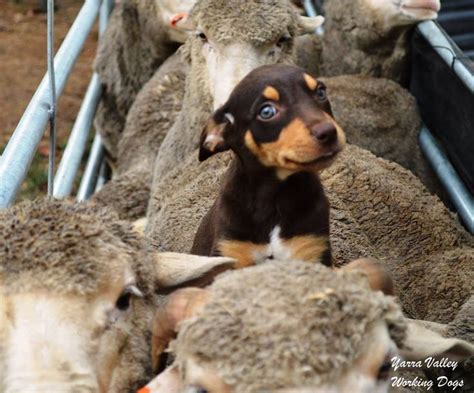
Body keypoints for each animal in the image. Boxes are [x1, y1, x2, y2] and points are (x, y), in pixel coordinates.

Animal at [192, 64, 344, 268]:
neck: (273, 195)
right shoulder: (231, 252)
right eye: (266, 112)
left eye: (320, 92)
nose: (329, 132)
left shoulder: (311, 248)